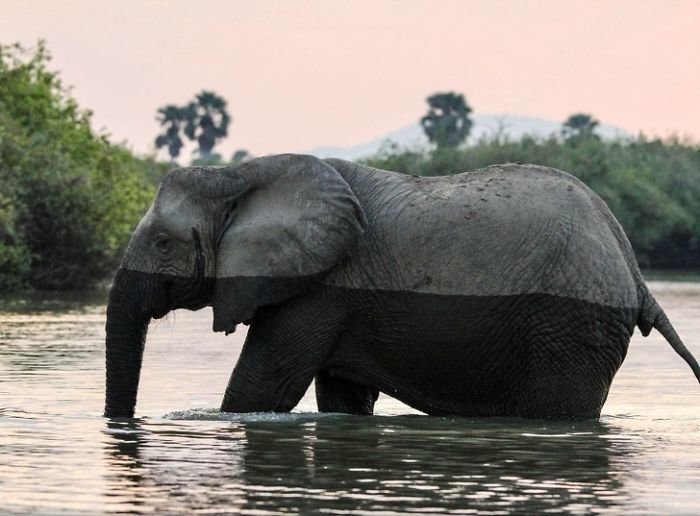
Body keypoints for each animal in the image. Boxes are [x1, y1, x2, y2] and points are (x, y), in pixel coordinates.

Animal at [104, 153, 700, 420]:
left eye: (163, 243)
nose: (119, 424)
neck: (241, 173)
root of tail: (633, 268)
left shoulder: (323, 288)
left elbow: (262, 389)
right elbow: (342, 398)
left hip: (570, 328)